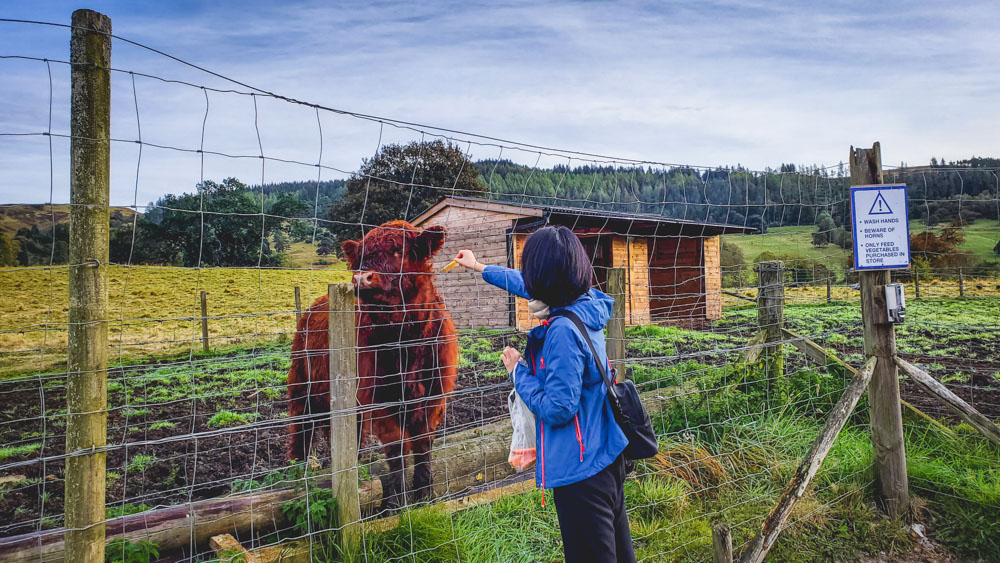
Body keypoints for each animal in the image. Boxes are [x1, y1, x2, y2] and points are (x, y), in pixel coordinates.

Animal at [288, 220, 458, 512]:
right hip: (303, 385)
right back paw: (300, 472)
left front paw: (425, 494)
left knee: (346, 434)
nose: (361, 278)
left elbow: (423, 444)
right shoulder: (382, 400)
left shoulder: (434, 395)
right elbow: (397, 448)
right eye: (362, 256)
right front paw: (398, 501)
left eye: (399, 251)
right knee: (302, 427)